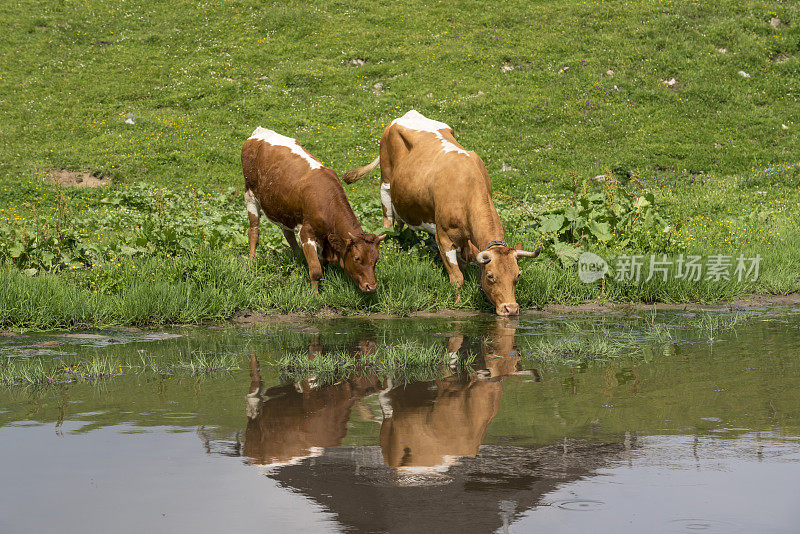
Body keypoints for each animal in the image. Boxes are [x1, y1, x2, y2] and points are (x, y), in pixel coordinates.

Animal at [242, 128, 386, 296]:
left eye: (376, 259)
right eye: (357, 258)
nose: (372, 286)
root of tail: (259, 132)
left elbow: (322, 265)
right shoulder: (307, 233)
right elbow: (316, 270)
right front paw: (314, 295)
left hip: (283, 209)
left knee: (288, 234)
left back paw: (298, 257)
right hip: (250, 196)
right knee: (254, 232)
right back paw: (251, 262)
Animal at [342, 111, 536, 316]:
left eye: (518, 275)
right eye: (491, 276)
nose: (511, 308)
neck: (467, 187)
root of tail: (406, 115)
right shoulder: (444, 237)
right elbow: (457, 276)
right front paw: (458, 302)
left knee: (400, 223)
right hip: (385, 184)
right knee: (388, 221)